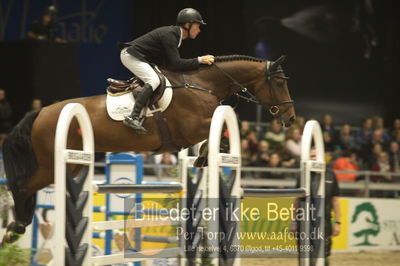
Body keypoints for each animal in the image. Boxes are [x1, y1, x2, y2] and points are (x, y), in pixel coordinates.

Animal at [0, 54, 294, 245]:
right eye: (280, 83)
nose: (290, 119)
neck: (201, 84)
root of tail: (40, 112)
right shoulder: (192, 127)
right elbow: (221, 132)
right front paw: (203, 156)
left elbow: (216, 136)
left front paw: (201, 157)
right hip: (52, 164)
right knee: (22, 186)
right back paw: (14, 229)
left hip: (68, 166)